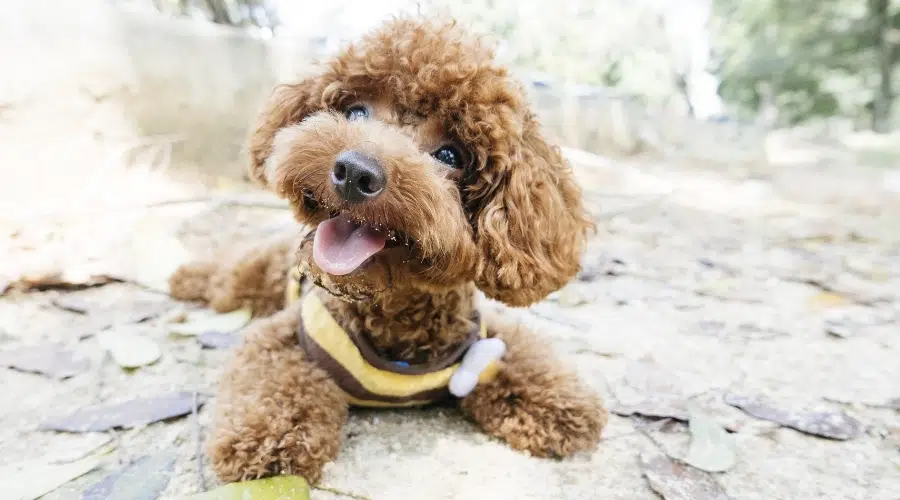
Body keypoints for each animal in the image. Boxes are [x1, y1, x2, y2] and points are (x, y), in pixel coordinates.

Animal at [171, 15, 604, 484]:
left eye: (451, 154)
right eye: (356, 111)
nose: (354, 171)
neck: (392, 317)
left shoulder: (484, 338)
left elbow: (523, 354)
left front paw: (561, 403)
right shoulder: (283, 337)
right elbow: (274, 381)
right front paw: (269, 435)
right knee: (224, 276)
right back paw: (183, 277)